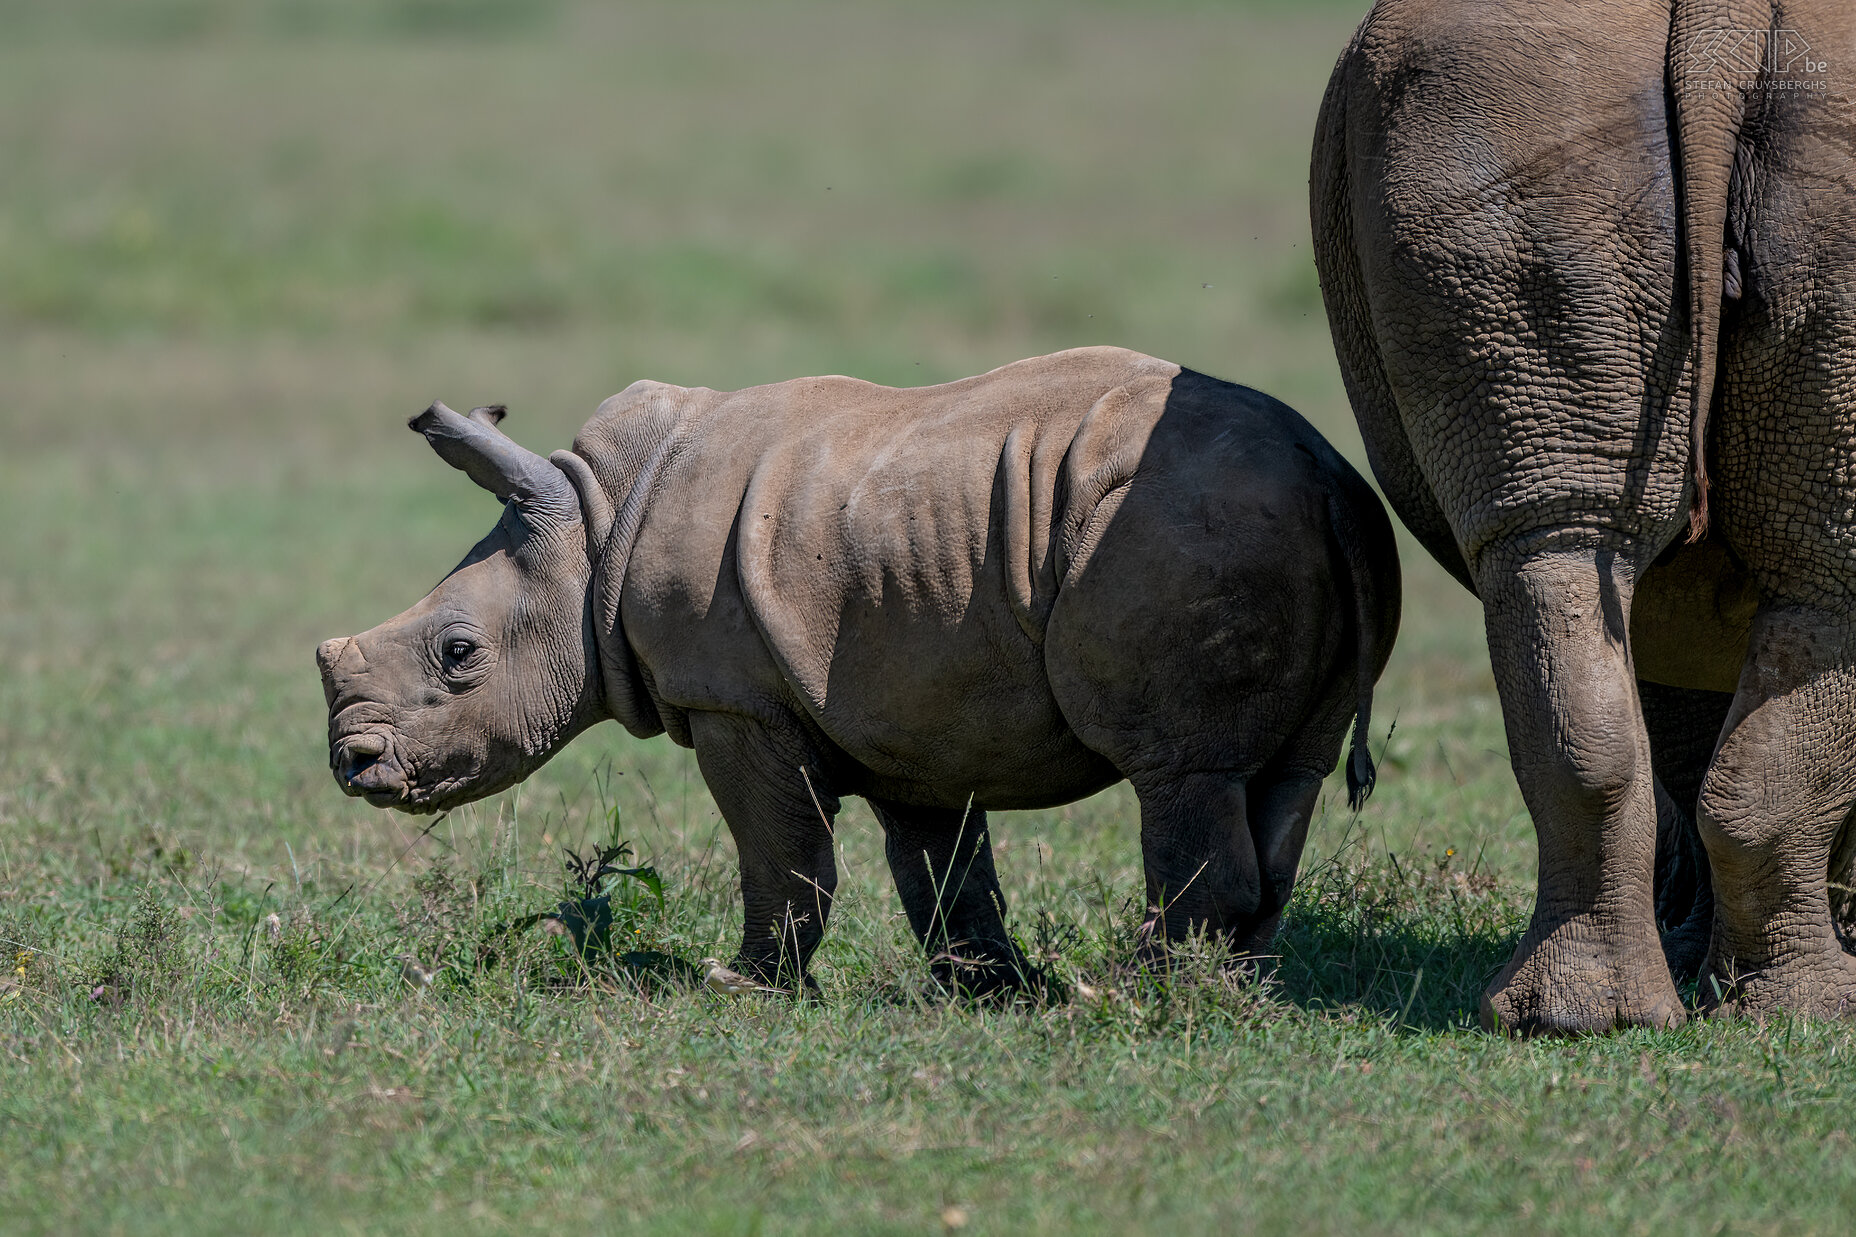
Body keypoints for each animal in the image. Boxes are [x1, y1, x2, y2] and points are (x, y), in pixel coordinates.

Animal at [315, 347, 1395, 995]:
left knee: (1183, 769)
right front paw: (986, 990)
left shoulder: (736, 699)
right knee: (1283, 776)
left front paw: (743, 987)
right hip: (1289, 523)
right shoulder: (909, 700)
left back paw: (1130, 995)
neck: (591, 525)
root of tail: (1324, 470)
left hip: (1184, 526)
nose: (353, 765)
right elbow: (941, 864)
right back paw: (1229, 992)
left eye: (459, 654)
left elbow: (782, 849)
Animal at [1314, 0, 1856, 1032]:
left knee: (1557, 549)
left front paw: (1698, 954)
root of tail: (1724, 25)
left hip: (1496, 110)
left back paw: (1583, 1018)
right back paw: (1811, 1013)